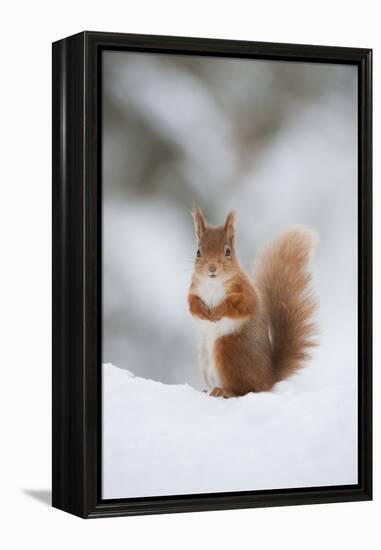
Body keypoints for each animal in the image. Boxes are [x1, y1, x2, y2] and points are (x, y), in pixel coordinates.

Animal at [188, 209, 318, 398]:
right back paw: (209, 389)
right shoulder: (194, 289)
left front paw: (218, 311)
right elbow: (191, 305)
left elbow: (239, 305)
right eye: (198, 252)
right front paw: (203, 312)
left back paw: (225, 391)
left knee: (245, 389)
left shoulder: (245, 293)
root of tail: (267, 379)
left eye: (228, 251)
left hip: (227, 348)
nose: (212, 268)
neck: (213, 283)